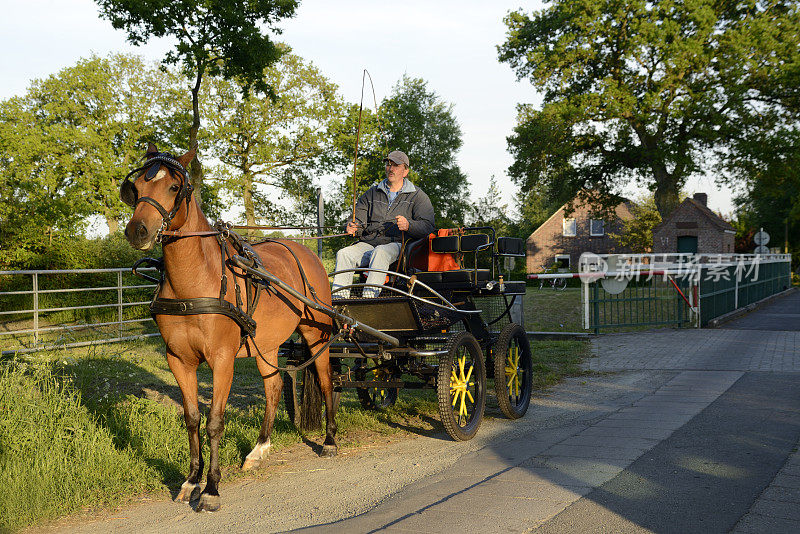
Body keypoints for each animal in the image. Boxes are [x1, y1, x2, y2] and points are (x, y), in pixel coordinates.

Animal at [120, 143, 336, 516]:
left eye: (174, 187)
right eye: (137, 188)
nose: (138, 231)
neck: (194, 281)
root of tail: (304, 249)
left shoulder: (222, 360)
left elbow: (215, 422)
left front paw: (211, 489)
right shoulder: (178, 360)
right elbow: (192, 418)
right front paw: (191, 480)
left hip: (316, 333)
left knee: (324, 381)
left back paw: (330, 438)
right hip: (266, 343)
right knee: (273, 387)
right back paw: (260, 448)